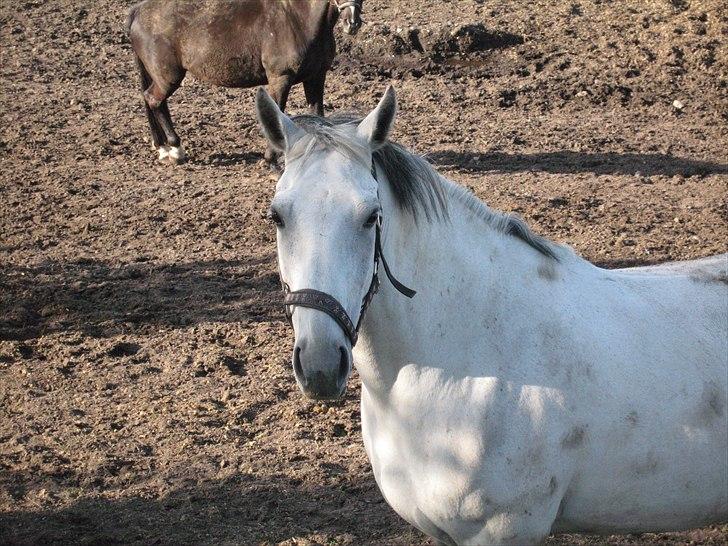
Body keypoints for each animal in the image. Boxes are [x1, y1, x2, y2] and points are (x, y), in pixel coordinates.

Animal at [128, 0, 364, 163]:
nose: (352, 22)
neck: (299, 19)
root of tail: (137, 11)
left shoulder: (316, 77)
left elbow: (319, 115)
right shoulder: (280, 78)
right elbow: (277, 112)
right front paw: (271, 158)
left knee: (152, 100)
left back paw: (162, 147)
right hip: (168, 76)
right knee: (154, 100)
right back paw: (175, 150)